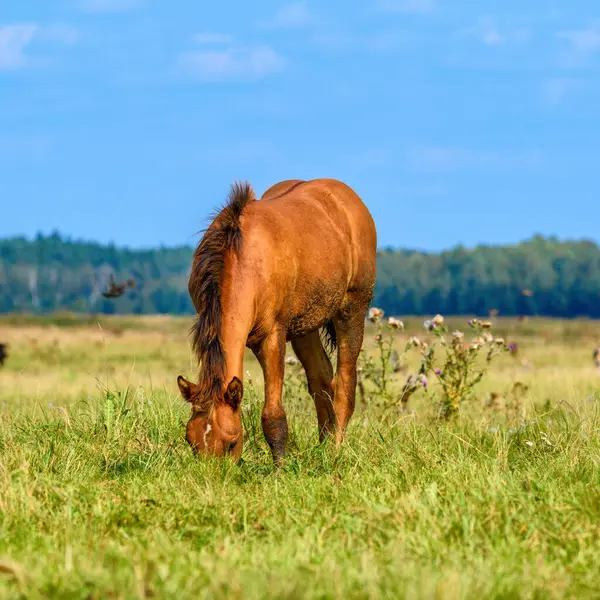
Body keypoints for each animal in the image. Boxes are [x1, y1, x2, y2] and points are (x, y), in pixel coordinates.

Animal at [176, 176, 378, 466]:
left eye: (231, 443)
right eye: (191, 442)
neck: (240, 255)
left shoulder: (271, 335)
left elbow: (273, 415)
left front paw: (279, 469)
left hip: (352, 311)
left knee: (344, 386)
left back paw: (334, 451)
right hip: (305, 326)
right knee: (321, 379)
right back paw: (322, 446)